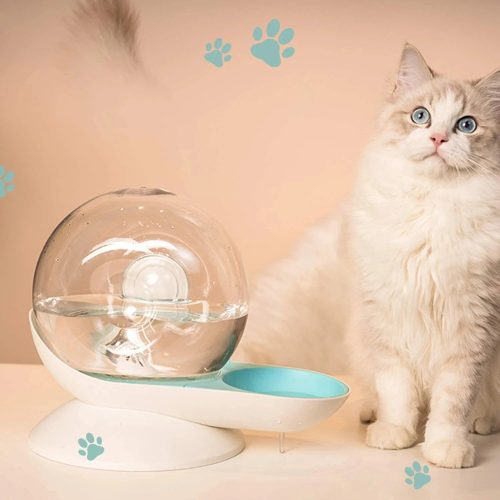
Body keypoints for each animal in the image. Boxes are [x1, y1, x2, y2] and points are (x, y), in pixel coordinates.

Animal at [237, 44, 500, 468]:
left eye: (466, 125)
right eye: (420, 116)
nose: (438, 138)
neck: (430, 208)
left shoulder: (472, 328)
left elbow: (452, 403)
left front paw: (445, 449)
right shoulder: (387, 323)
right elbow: (397, 392)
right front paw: (395, 433)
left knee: (483, 408)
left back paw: (483, 423)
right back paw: (370, 414)